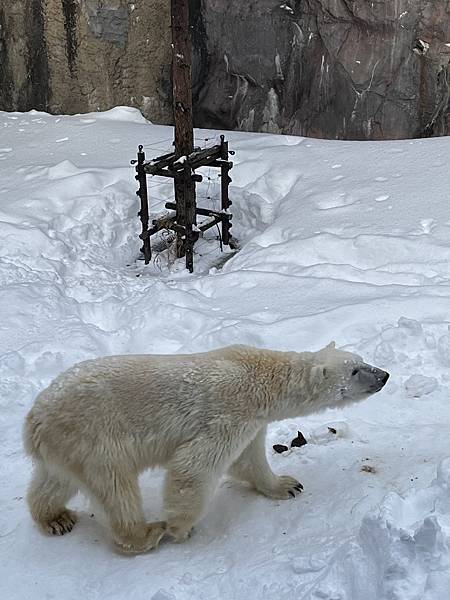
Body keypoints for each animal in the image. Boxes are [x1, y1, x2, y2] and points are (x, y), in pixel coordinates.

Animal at [24, 342, 388, 552]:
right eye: (355, 370)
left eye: (361, 359)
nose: (384, 375)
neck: (262, 378)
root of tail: (34, 420)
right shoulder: (230, 411)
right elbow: (195, 466)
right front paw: (180, 527)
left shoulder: (253, 419)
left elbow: (250, 459)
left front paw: (287, 485)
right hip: (96, 437)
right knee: (116, 487)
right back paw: (147, 533)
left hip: (68, 447)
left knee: (55, 480)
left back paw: (55, 519)